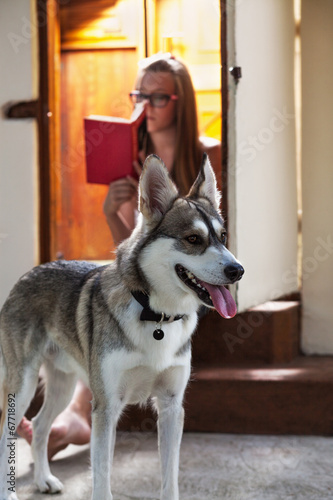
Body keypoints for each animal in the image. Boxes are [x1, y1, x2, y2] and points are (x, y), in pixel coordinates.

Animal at [0, 154, 244, 498]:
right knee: (6, 433)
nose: (238, 270)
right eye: (193, 239)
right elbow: (102, 480)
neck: (157, 316)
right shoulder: (105, 408)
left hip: (63, 387)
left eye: (222, 237)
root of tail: (30, 271)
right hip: (22, 386)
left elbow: (170, 478)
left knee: (38, 425)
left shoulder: (171, 406)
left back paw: (43, 480)